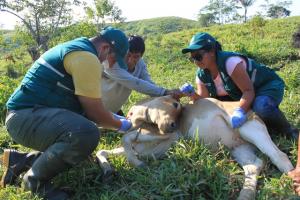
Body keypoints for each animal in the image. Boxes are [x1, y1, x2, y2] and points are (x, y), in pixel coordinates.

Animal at [97, 95, 294, 200]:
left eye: (177, 105)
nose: (172, 125)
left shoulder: (169, 137)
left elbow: (126, 138)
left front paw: (137, 164)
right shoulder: (152, 148)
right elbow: (104, 149)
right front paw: (108, 170)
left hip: (249, 129)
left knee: (279, 156)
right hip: (238, 148)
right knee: (254, 165)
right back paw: (244, 195)